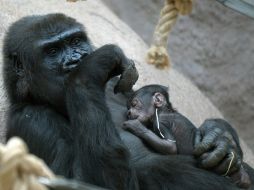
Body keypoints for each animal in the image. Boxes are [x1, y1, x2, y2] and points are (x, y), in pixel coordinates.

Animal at [123, 85, 252, 190]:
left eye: (134, 104)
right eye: (130, 106)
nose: (129, 112)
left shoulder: (161, 123)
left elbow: (170, 147)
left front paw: (135, 126)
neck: (162, 111)